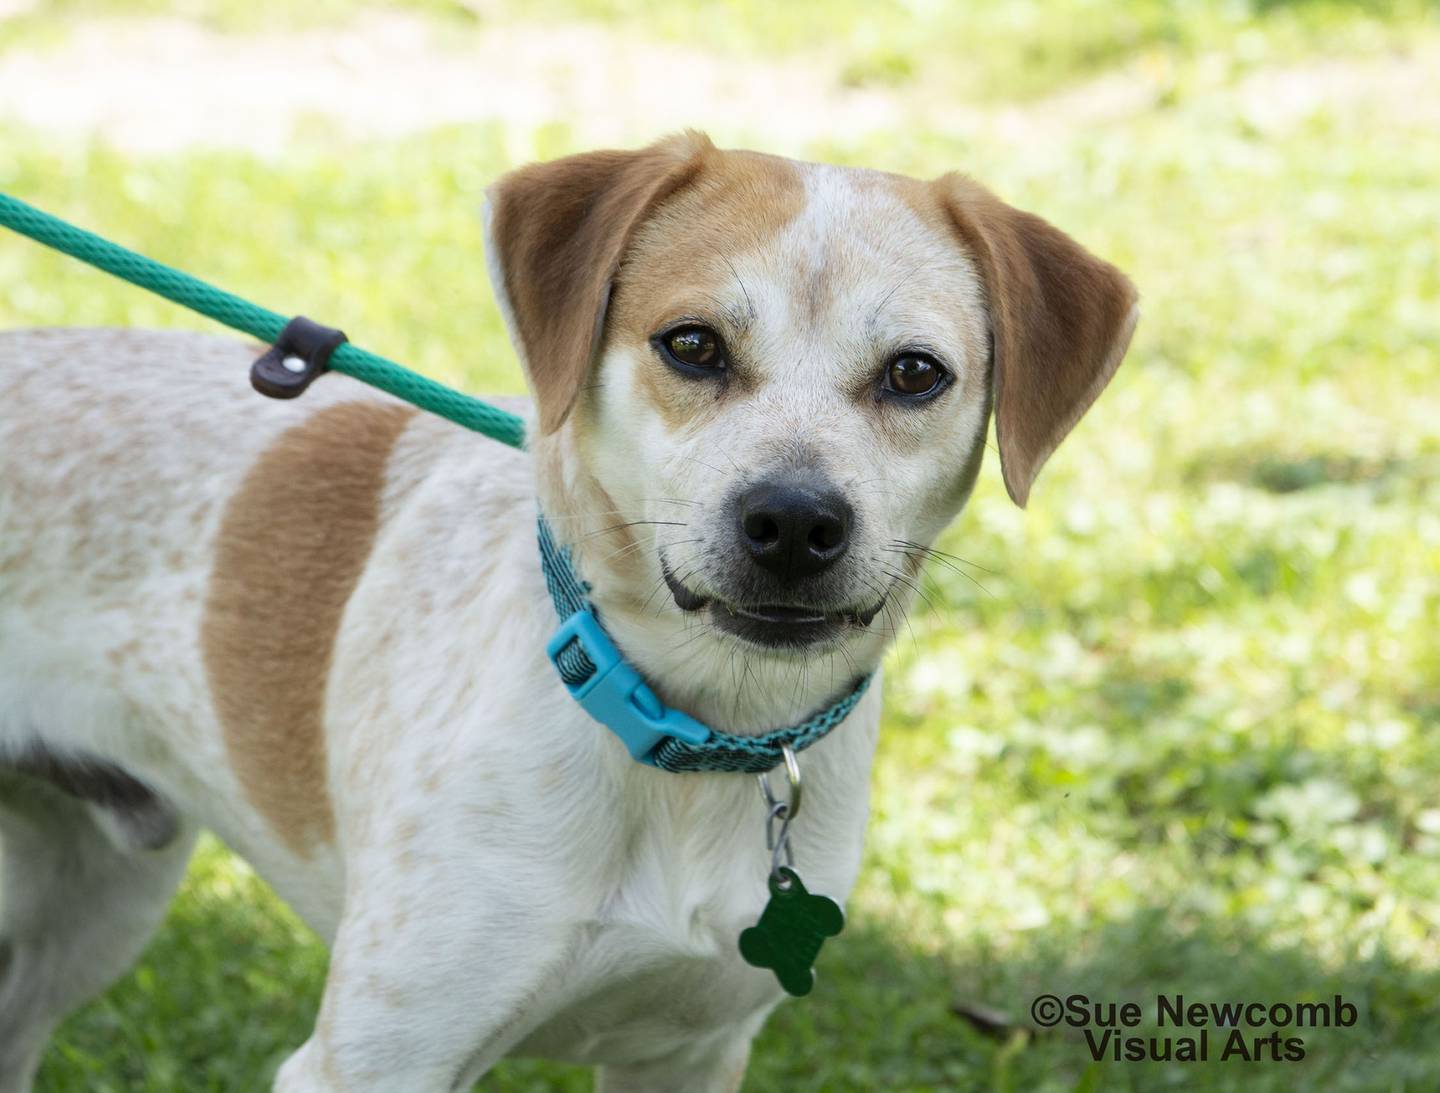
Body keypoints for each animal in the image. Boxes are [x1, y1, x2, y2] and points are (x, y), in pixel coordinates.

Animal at [0, 132, 1134, 1088]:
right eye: (692, 345)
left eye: (914, 373)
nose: (795, 521)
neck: (688, 742)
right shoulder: (372, 1058)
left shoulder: (690, 1055)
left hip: (86, 913)